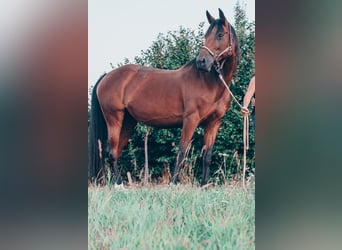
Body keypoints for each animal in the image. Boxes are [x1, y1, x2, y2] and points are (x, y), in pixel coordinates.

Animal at [89, 8, 239, 186]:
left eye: (220, 35)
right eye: (206, 35)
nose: (202, 62)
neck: (210, 83)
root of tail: (107, 76)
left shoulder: (213, 123)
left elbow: (207, 156)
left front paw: (204, 185)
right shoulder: (190, 120)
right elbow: (181, 153)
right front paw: (173, 184)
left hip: (128, 122)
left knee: (115, 152)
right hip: (114, 119)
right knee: (111, 152)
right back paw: (119, 185)